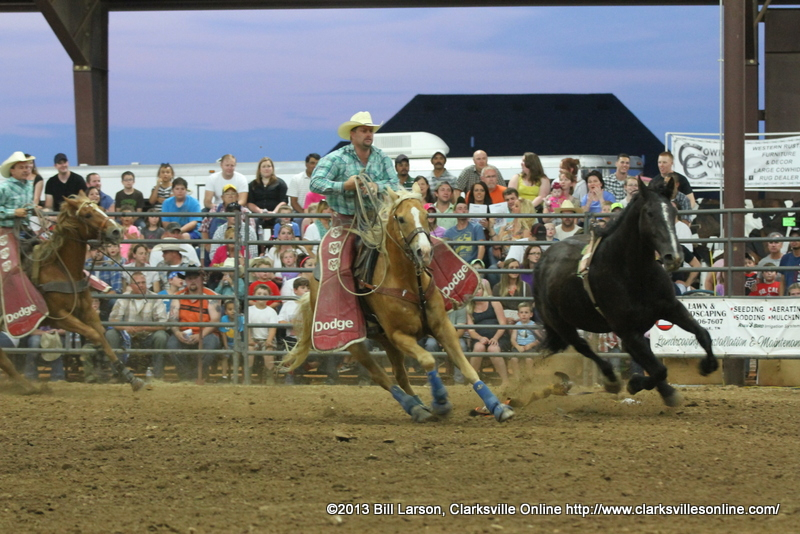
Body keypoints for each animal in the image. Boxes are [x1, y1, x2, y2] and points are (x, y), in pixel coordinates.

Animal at [0, 193, 144, 394]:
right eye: (87, 214)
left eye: (101, 208)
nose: (116, 231)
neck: (61, 269)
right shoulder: (60, 317)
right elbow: (93, 334)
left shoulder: (87, 311)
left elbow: (101, 335)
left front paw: (129, 376)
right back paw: (29, 387)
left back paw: (27, 385)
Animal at [282, 186, 516, 426]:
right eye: (401, 218)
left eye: (427, 216)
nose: (424, 251)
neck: (407, 281)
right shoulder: (399, 335)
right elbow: (428, 360)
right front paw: (441, 402)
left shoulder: (442, 327)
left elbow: (467, 369)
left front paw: (497, 407)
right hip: (357, 344)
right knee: (382, 377)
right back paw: (416, 408)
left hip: (385, 340)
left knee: (400, 375)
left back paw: (420, 407)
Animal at [536, 176, 720, 406]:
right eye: (649, 213)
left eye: (673, 212)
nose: (674, 257)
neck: (633, 272)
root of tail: (544, 259)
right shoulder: (627, 329)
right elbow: (659, 369)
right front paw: (635, 384)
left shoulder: (671, 309)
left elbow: (703, 334)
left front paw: (707, 366)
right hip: (562, 324)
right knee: (583, 346)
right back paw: (612, 380)